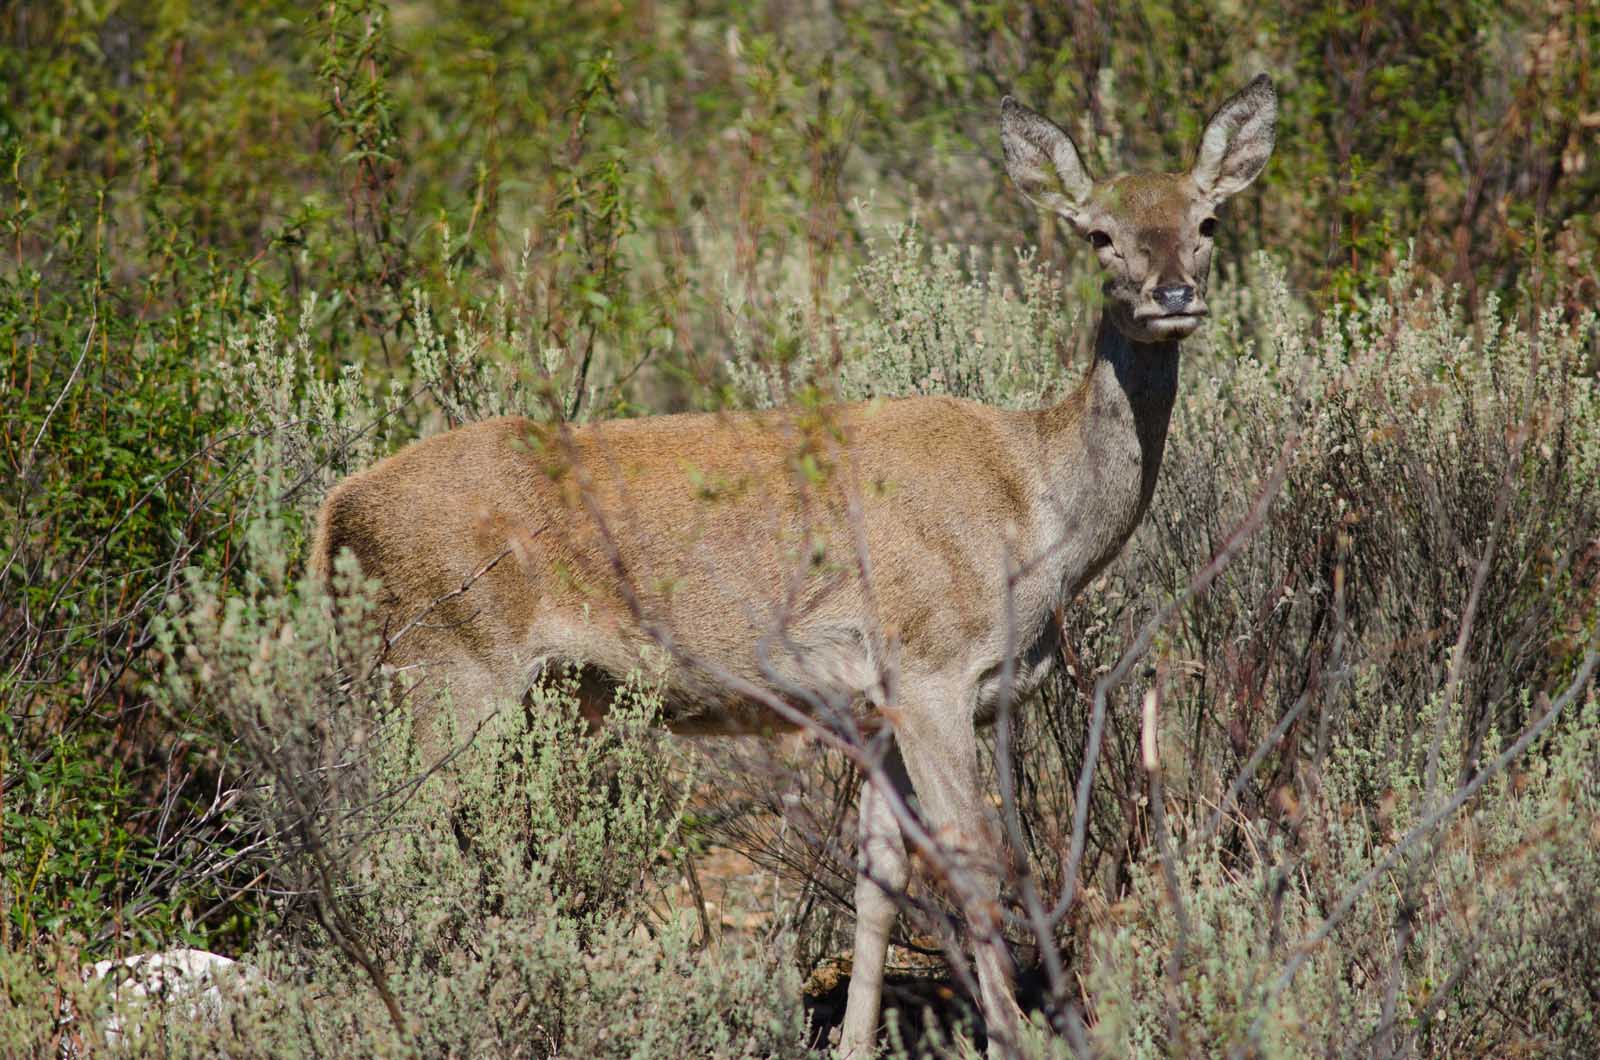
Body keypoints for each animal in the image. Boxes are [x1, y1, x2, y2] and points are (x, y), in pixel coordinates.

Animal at [315, 76, 1273, 1060]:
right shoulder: (929, 667)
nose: (1172, 293)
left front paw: (853, 1039)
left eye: (1206, 220)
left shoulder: (875, 707)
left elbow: (878, 879)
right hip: (445, 668)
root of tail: (337, 511)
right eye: (1098, 234)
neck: (1038, 517)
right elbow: (970, 860)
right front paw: (1010, 1033)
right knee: (386, 845)